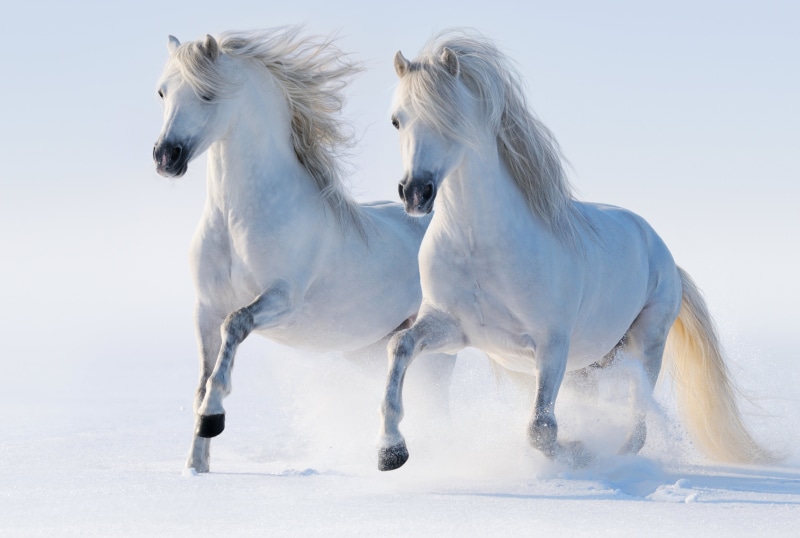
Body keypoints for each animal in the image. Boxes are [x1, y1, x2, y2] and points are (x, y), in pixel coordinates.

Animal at [152, 28, 453, 473]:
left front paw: (213, 419)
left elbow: (235, 327)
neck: (236, 219)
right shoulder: (205, 308)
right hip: (368, 349)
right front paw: (196, 466)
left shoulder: (282, 299)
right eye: (162, 92)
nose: (165, 157)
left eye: (207, 94)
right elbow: (202, 380)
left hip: (439, 346)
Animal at [377, 29, 772, 471]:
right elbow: (399, 346)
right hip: (589, 365)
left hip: (645, 344)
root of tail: (664, 254)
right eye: (397, 120)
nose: (415, 192)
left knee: (637, 422)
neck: (479, 247)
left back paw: (615, 457)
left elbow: (541, 429)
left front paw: (579, 452)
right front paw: (391, 450)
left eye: (450, 118)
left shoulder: (552, 345)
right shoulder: (452, 328)